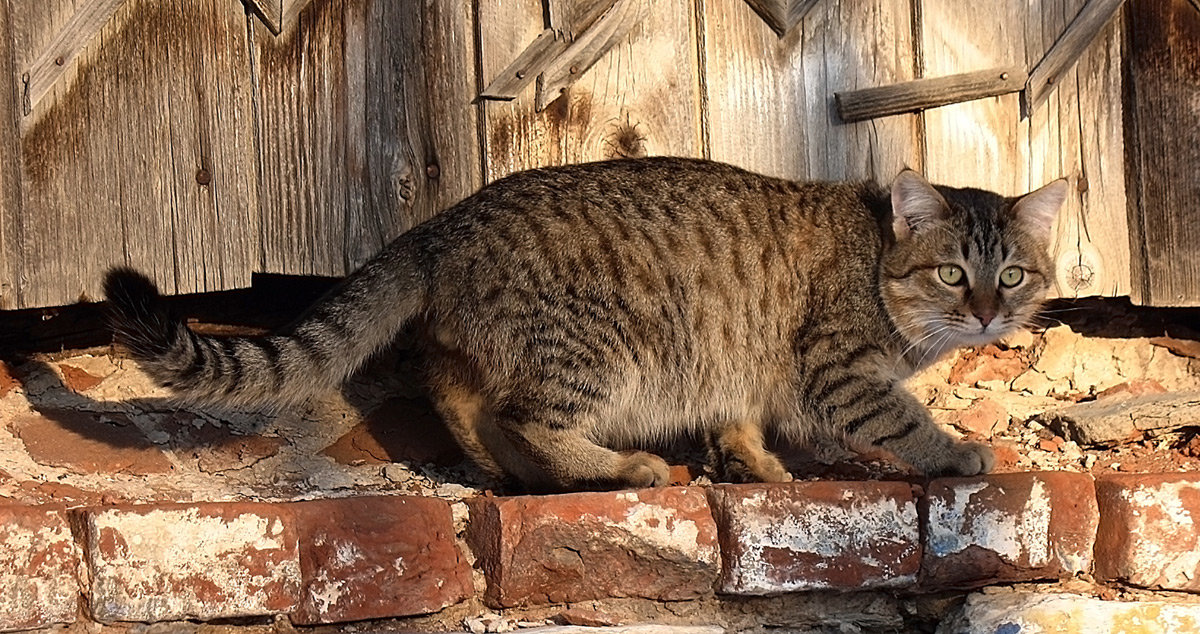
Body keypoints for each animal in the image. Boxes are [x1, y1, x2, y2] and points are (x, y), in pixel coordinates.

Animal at [105, 157, 1070, 489]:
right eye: (953, 274)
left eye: (1013, 276)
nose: (988, 314)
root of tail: (444, 219)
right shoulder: (840, 371)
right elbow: (904, 422)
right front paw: (955, 453)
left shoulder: (742, 368)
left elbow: (739, 417)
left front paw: (754, 463)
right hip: (599, 351)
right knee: (522, 416)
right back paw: (614, 467)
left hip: (496, 346)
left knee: (460, 398)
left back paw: (512, 474)